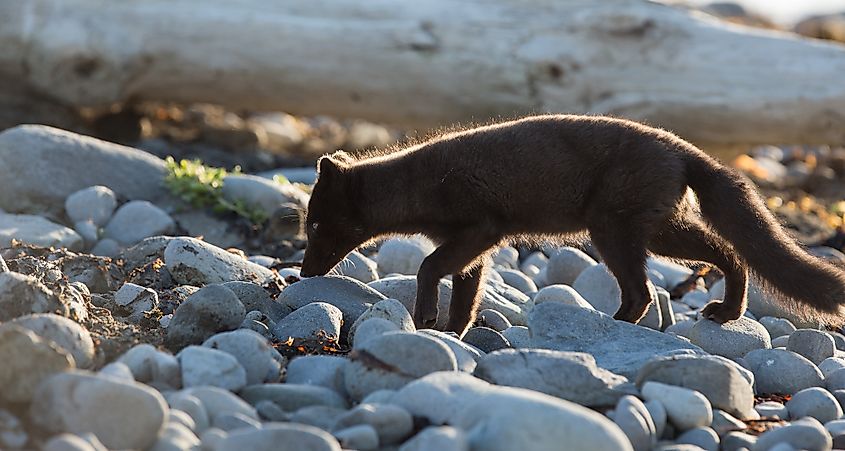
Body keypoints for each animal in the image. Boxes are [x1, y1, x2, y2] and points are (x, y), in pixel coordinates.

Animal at [298, 115, 844, 338]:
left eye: (316, 223)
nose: (302, 273)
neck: (420, 185)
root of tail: (683, 149)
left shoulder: (483, 227)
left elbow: (432, 267)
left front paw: (426, 317)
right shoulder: (473, 245)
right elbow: (467, 291)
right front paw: (453, 332)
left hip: (615, 227)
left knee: (646, 290)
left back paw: (618, 323)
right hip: (654, 227)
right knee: (719, 255)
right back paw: (725, 313)